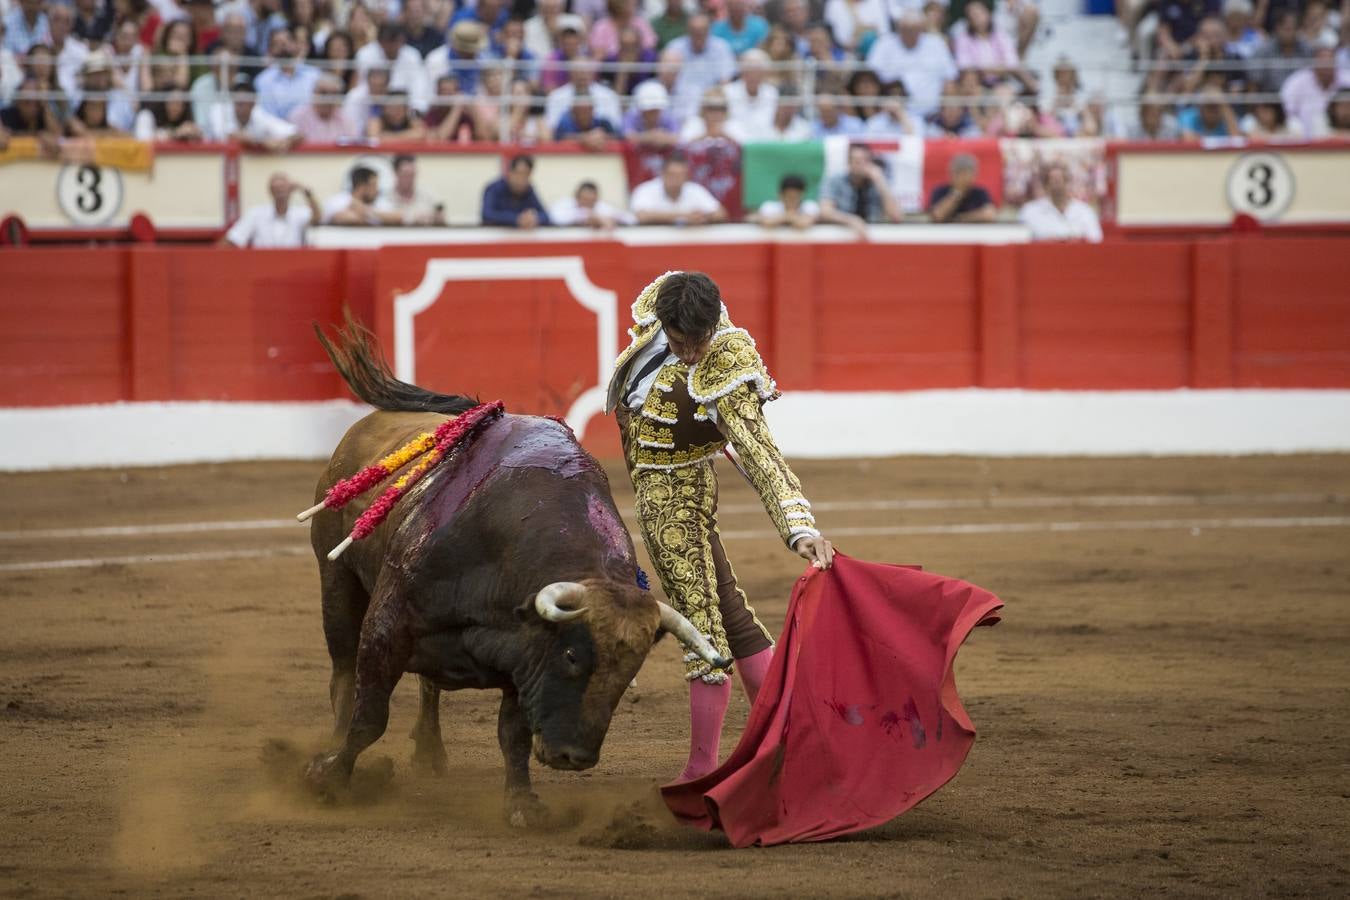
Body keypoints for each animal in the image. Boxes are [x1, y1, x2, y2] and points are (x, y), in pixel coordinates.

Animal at [306, 323, 729, 825]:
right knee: (341, 673)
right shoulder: (388, 624)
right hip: (335, 579)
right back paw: (330, 749)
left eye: (630, 672)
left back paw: (429, 754)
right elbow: (369, 715)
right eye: (572, 655)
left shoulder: (522, 657)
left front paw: (522, 804)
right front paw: (330, 778)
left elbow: (513, 735)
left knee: (428, 686)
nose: (574, 758)